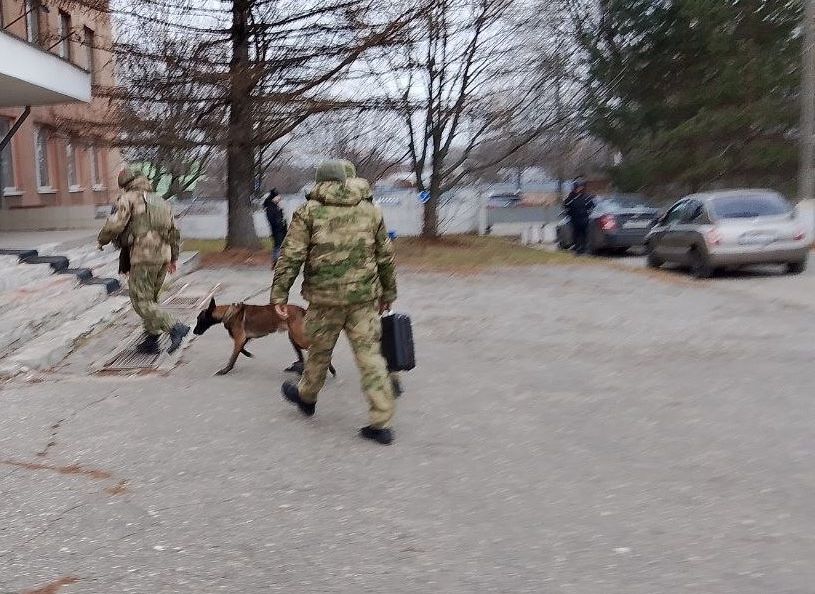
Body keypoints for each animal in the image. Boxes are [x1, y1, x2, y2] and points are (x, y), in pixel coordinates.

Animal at [193, 298, 336, 376]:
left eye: (199, 319)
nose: (194, 332)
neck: (227, 312)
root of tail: (302, 310)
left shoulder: (239, 338)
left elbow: (233, 357)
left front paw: (225, 370)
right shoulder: (244, 338)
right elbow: (241, 349)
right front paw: (248, 354)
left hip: (299, 337)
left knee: (315, 347)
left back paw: (329, 367)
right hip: (293, 337)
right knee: (302, 354)